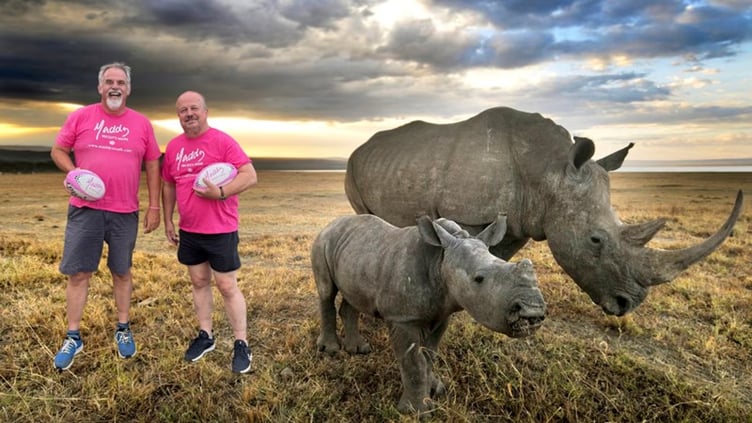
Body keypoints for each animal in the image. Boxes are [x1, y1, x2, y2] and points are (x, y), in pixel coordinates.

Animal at [312, 214, 545, 413]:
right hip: (323, 241)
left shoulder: (441, 314)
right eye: (479, 279)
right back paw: (330, 350)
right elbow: (413, 362)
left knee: (352, 296)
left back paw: (358, 350)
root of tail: (332, 224)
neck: (440, 259)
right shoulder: (403, 318)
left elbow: (430, 354)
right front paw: (415, 411)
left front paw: (435, 390)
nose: (533, 311)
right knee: (326, 292)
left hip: (356, 253)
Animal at [345, 106, 744, 316]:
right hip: (353, 166)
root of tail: (361, 146)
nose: (627, 305)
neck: (549, 171)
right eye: (595, 240)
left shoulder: (520, 220)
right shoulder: (469, 213)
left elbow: (496, 258)